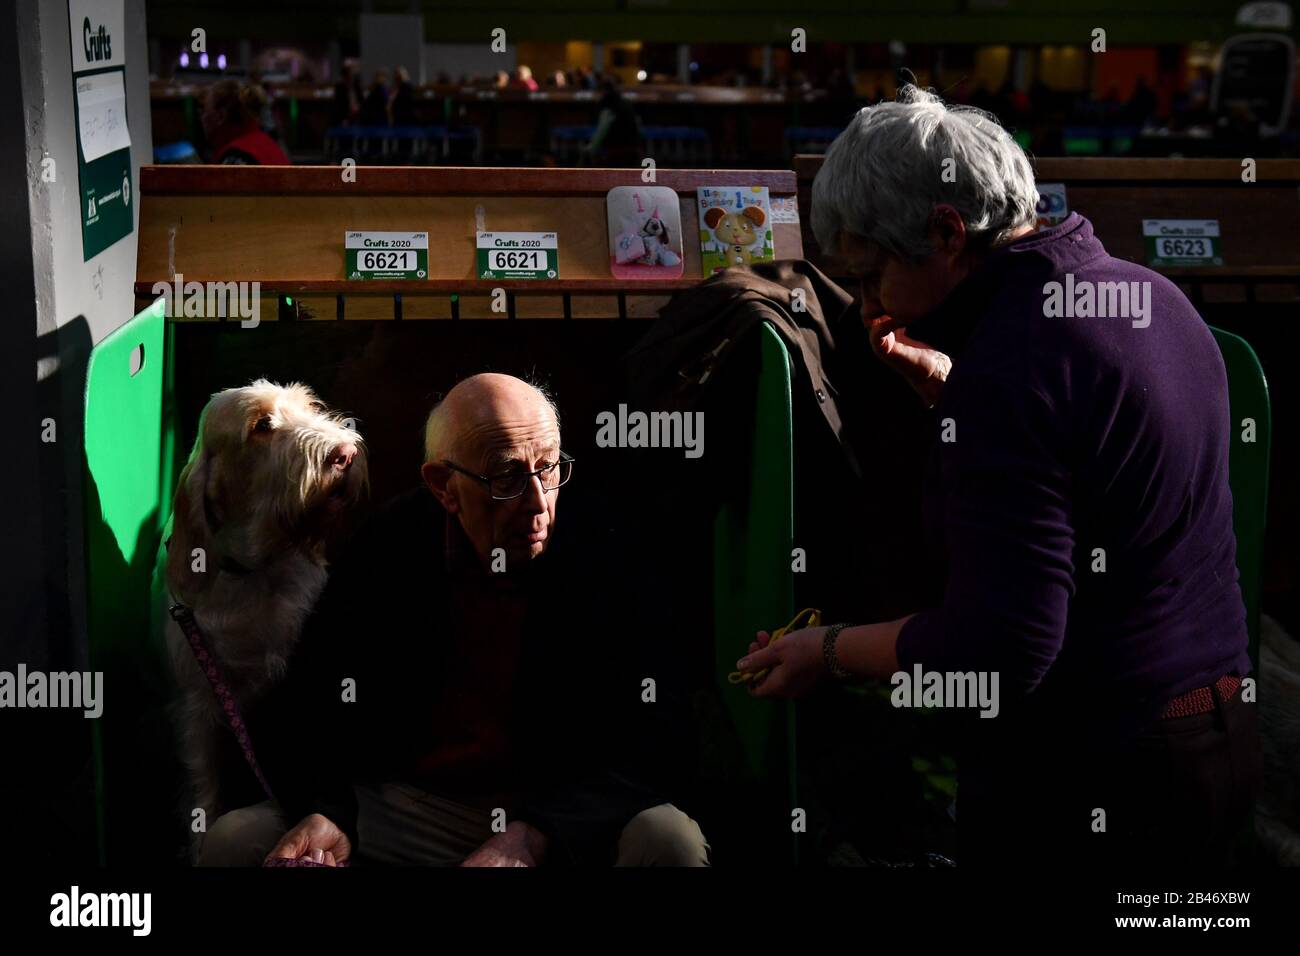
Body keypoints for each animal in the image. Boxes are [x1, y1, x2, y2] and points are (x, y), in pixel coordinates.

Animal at [165, 379, 366, 842]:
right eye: (261, 425)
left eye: (310, 406)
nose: (345, 453)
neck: (259, 573)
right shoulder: (196, 709)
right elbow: (205, 796)